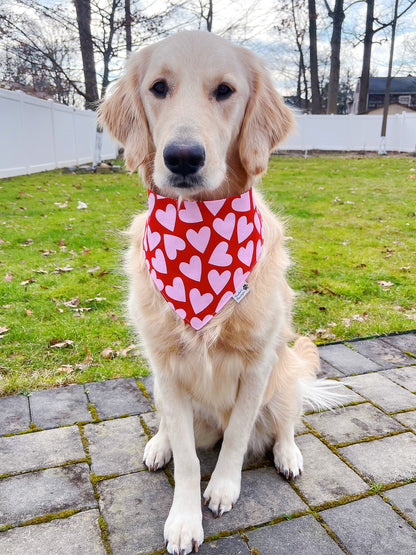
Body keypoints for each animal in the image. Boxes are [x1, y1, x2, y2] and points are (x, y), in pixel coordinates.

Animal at [98, 31, 344, 555]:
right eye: (159, 87)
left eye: (225, 91)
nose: (182, 157)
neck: (201, 229)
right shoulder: (167, 369)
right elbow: (190, 458)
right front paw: (184, 518)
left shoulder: (258, 363)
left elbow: (237, 435)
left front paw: (224, 488)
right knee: (173, 428)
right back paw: (159, 443)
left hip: (285, 373)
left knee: (285, 422)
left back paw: (288, 454)